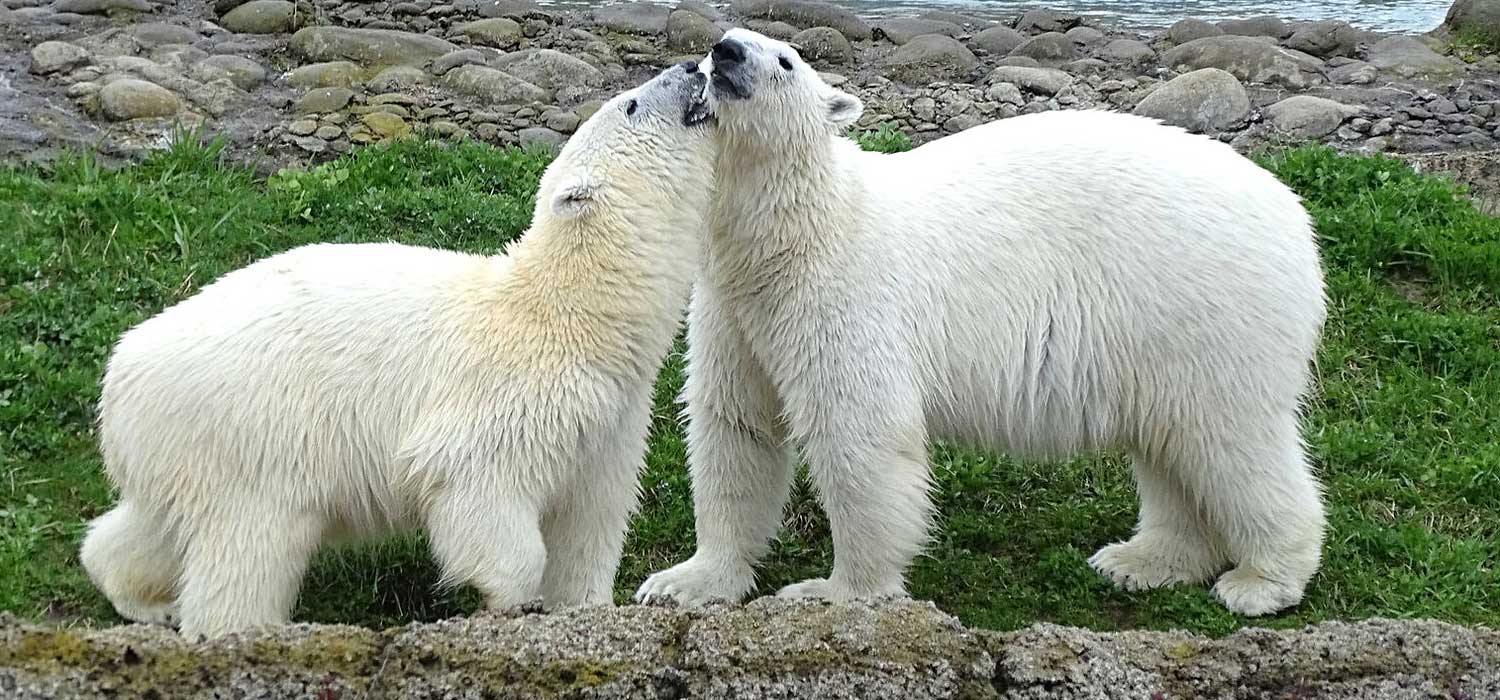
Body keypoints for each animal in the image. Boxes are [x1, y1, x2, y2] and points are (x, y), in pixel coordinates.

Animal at [79, 62, 717, 644]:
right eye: (631, 103)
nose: (693, 66)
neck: (571, 316)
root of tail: (122, 370)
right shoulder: (508, 398)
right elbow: (474, 488)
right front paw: (514, 601)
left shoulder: (609, 418)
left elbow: (589, 520)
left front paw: (582, 608)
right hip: (250, 432)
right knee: (250, 543)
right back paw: (237, 629)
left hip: (180, 443)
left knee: (155, 523)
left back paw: (143, 597)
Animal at [633, 28, 1326, 620]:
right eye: (720, 44)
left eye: (786, 60)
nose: (724, 52)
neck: (795, 236)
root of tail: (1294, 214)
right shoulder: (734, 309)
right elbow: (735, 426)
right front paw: (685, 582)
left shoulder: (845, 297)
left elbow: (861, 435)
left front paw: (834, 593)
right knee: (1169, 443)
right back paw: (1141, 560)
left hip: (1204, 302)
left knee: (1228, 437)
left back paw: (1262, 582)